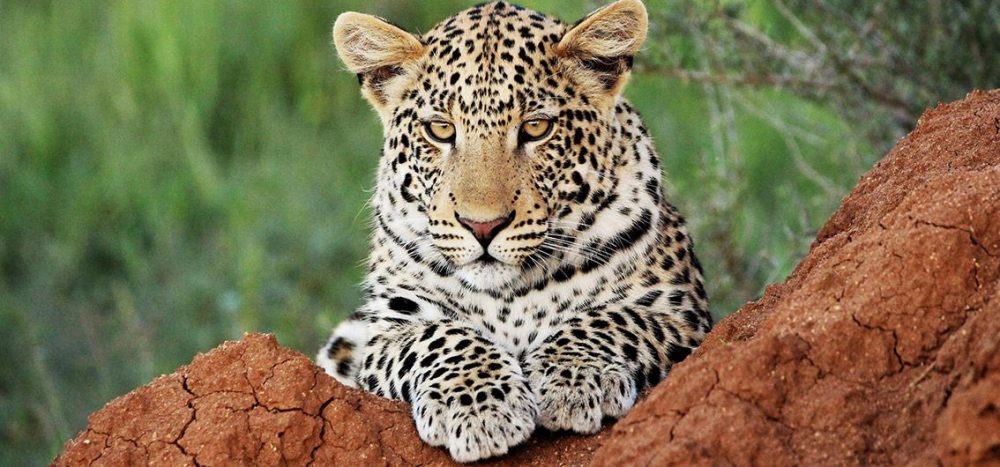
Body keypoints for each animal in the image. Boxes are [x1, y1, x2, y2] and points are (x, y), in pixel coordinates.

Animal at [316, 0, 712, 462]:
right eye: (440, 130)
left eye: (536, 128)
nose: (482, 226)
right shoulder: (387, 328)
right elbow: (440, 336)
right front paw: (478, 407)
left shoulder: (681, 311)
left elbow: (613, 318)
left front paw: (574, 378)